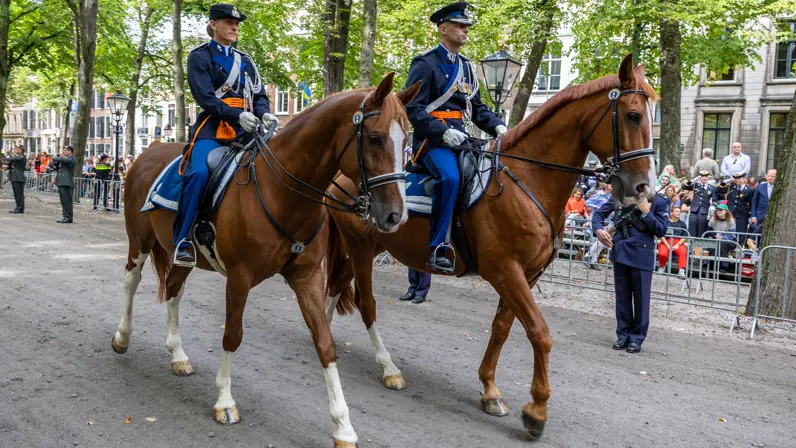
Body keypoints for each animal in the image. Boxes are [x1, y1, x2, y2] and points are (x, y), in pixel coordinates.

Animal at [112, 73, 420, 448]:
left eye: (407, 140)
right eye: (374, 138)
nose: (396, 215)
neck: (283, 192)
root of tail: (147, 153)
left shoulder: (307, 278)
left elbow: (325, 343)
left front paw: (343, 426)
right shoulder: (239, 278)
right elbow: (232, 335)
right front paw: (225, 401)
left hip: (181, 253)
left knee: (173, 287)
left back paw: (178, 355)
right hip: (139, 241)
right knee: (131, 281)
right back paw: (122, 337)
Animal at [323, 54, 658, 440]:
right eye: (632, 115)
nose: (644, 188)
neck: (527, 180)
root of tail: (339, 175)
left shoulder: (526, 274)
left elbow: (502, 328)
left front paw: (490, 390)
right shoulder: (505, 270)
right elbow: (539, 332)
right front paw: (536, 411)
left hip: (367, 247)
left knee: (336, 286)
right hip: (360, 247)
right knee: (366, 302)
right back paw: (387, 367)